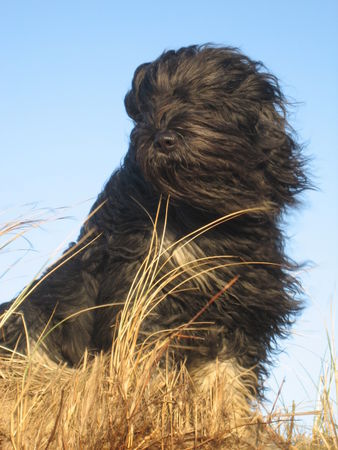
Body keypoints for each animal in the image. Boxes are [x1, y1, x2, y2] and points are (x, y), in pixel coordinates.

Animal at [0, 44, 308, 404]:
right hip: (30, 321)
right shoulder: (144, 293)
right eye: (147, 110)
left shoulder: (240, 309)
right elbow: (149, 359)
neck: (204, 211)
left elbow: (227, 376)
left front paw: (227, 414)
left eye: (200, 99)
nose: (164, 139)